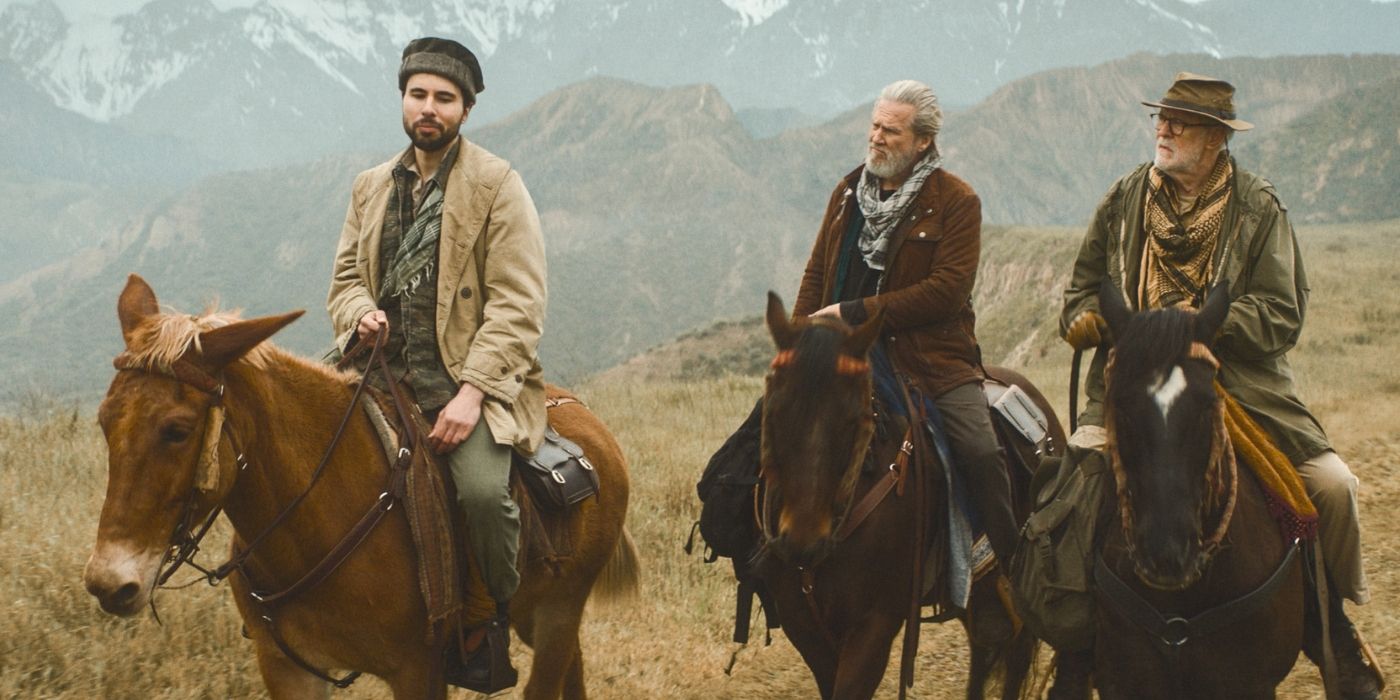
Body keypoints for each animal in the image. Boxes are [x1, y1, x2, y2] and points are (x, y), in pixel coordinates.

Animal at [81, 275, 641, 697]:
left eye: (177, 430)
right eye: (105, 421)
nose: (110, 584)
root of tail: (591, 423)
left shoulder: (419, 671)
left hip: (557, 615)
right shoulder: (288, 670)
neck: (314, 525)